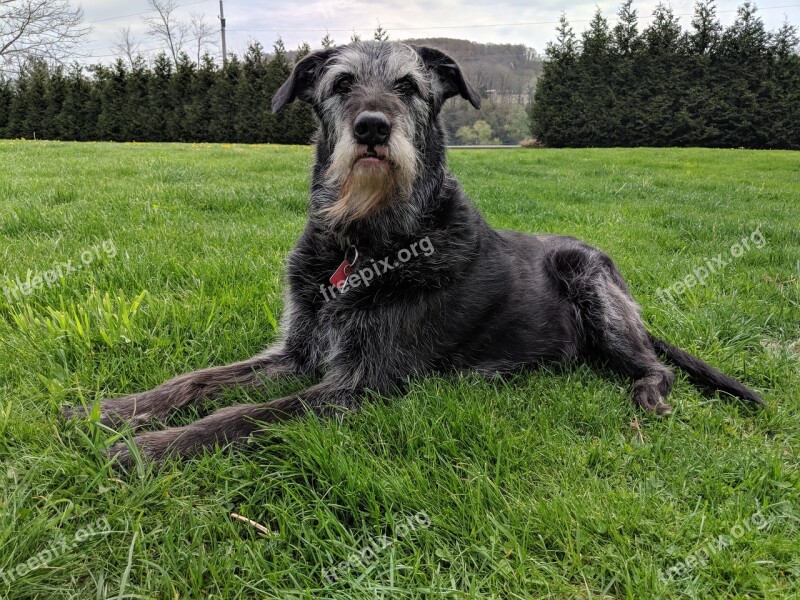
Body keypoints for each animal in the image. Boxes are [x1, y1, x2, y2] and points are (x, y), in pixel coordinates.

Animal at [62, 41, 764, 468]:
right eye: (342, 83)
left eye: (408, 85)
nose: (373, 127)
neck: (363, 242)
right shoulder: (298, 353)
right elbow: (199, 381)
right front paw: (115, 410)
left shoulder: (363, 384)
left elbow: (243, 415)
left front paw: (151, 448)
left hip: (589, 282)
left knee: (656, 366)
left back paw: (647, 394)